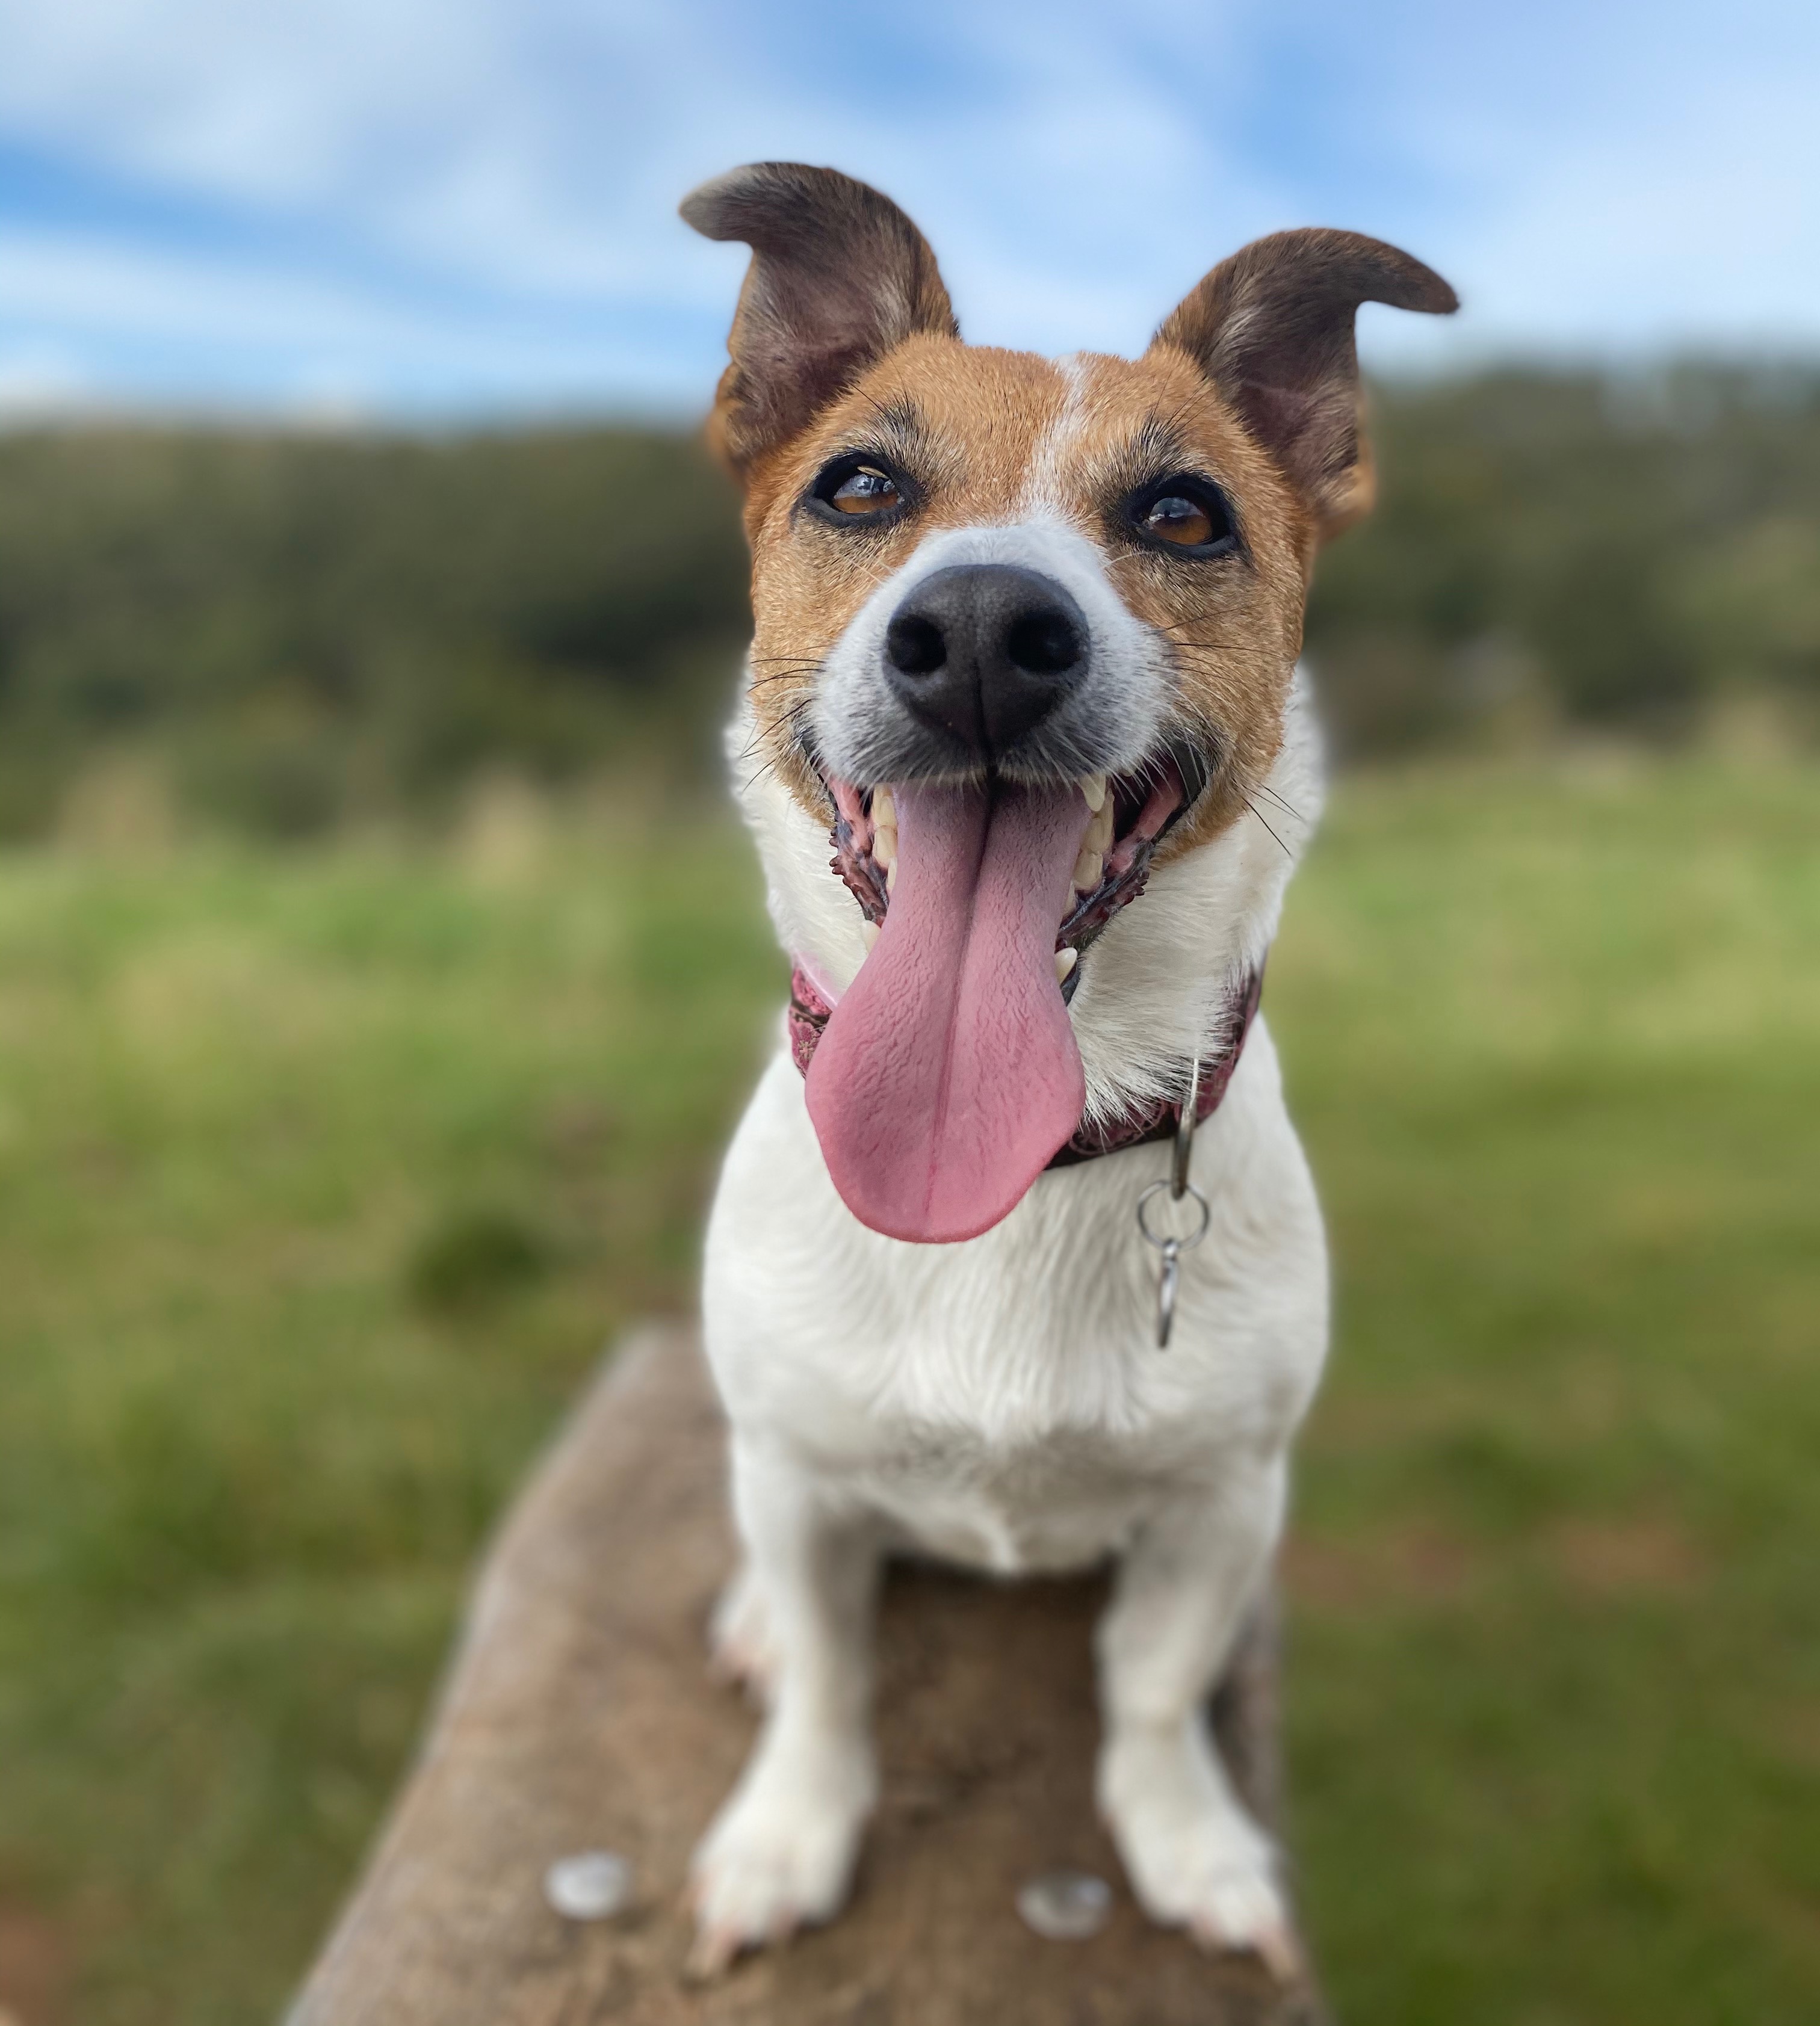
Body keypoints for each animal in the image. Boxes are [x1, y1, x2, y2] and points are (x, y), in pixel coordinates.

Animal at [673, 162, 1451, 1977]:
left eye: (1183, 516)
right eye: (862, 484)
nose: (976, 631)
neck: (1016, 1172)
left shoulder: (1221, 1501)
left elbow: (1150, 1693)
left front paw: (1189, 1841)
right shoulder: (799, 1484)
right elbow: (830, 1683)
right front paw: (787, 1832)